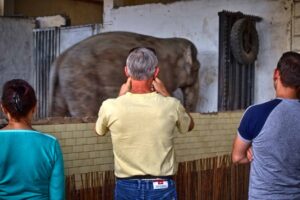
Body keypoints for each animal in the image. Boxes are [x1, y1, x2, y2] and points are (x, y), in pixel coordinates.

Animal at [48, 31, 199, 117]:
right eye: (197, 68)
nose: (191, 111)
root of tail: (61, 58)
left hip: (64, 83)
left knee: (58, 110)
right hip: (80, 82)